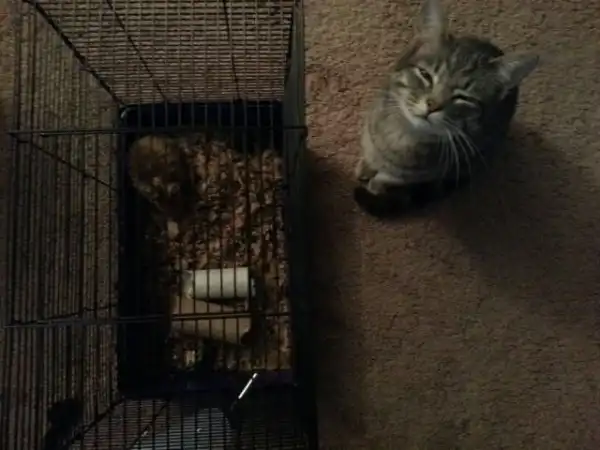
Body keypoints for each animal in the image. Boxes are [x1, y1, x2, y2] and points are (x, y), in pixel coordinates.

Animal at [354, 0, 539, 217]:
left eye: (463, 98)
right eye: (425, 75)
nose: (432, 105)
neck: (401, 137)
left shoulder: (412, 175)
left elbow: (386, 178)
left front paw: (375, 184)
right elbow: (370, 156)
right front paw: (365, 167)